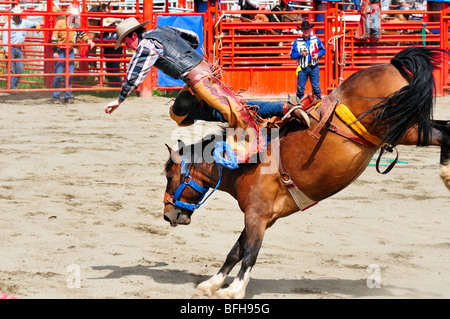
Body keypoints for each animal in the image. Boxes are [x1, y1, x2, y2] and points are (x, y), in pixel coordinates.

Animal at [163, 46, 448, 298]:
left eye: (169, 176)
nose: (168, 215)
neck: (242, 163)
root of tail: (391, 64)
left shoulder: (256, 216)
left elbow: (250, 253)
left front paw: (234, 289)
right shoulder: (265, 217)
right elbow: (236, 250)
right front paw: (211, 284)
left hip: (399, 127)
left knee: (444, 134)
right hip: (410, 126)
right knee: (444, 129)